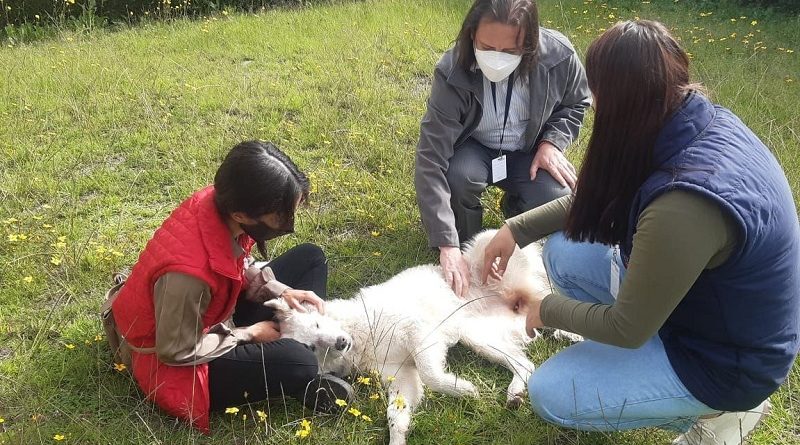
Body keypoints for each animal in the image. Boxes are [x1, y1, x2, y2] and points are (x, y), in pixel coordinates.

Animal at [266, 231, 552, 444]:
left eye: (317, 323)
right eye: (311, 348)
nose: (340, 342)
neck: (360, 335)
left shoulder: (419, 332)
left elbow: (431, 374)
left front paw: (462, 389)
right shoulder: (401, 374)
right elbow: (395, 413)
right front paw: (398, 438)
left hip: (493, 250)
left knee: (546, 292)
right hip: (479, 337)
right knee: (525, 363)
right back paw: (515, 394)